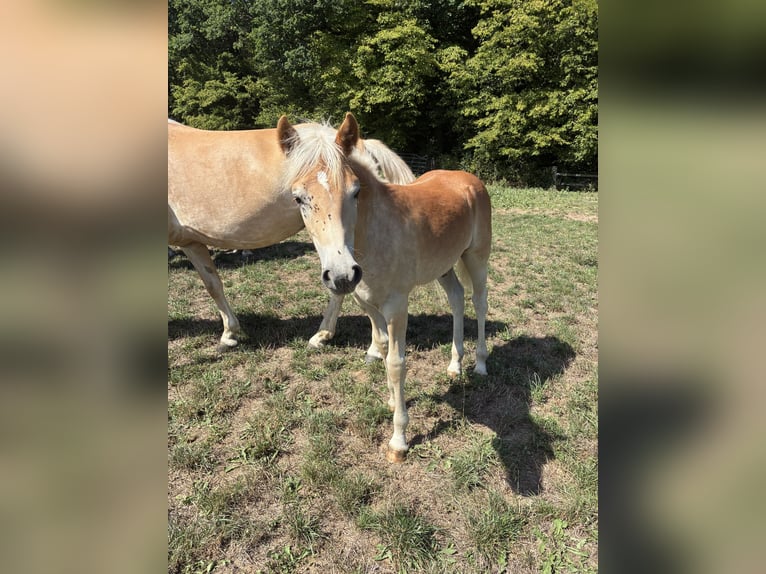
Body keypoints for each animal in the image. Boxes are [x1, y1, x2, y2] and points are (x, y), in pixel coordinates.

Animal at [168, 118, 414, 349]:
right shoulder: (191, 242)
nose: (342, 275)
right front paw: (229, 334)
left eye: (356, 192)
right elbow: (213, 285)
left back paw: (326, 336)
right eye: (298, 198)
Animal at [276, 113, 492, 463]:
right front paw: (392, 401)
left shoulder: (397, 306)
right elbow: (379, 342)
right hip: (444, 266)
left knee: (479, 303)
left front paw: (399, 441)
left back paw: (481, 365)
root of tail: (469, 179)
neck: (374, 236)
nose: (342, 276)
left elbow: (395, 363)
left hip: (476, 257)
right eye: (299, 198)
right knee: (457, 300)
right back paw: (454, 366)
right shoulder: (366, 301)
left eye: (355, 192)